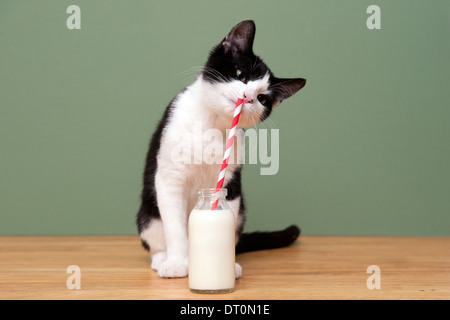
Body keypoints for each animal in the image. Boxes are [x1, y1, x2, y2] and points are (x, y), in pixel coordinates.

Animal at [137, 20, 306, 278]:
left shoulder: (230, 181)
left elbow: (227, 213)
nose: (248, 97)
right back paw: (162, 258)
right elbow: (175, 227)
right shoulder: (169, 178)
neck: (212, 124)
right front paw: (177, 262)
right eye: (240, 74)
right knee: (155, 235)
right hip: (148, 214)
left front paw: (224, 265)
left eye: (263, 99)